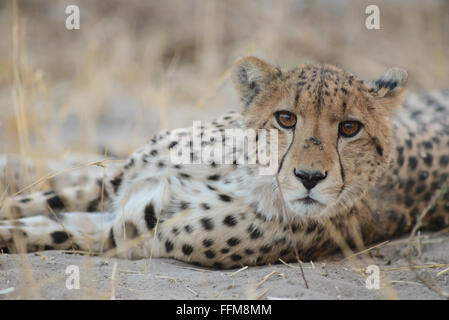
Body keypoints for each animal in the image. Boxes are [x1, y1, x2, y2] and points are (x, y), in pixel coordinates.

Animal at [0, 57, 448, 268]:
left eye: (350, 128)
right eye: (286, 119)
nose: (309, 177)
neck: (237, 170)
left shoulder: (121, 233)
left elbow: (44, 229)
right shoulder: (114, 186)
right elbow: (34, 203)